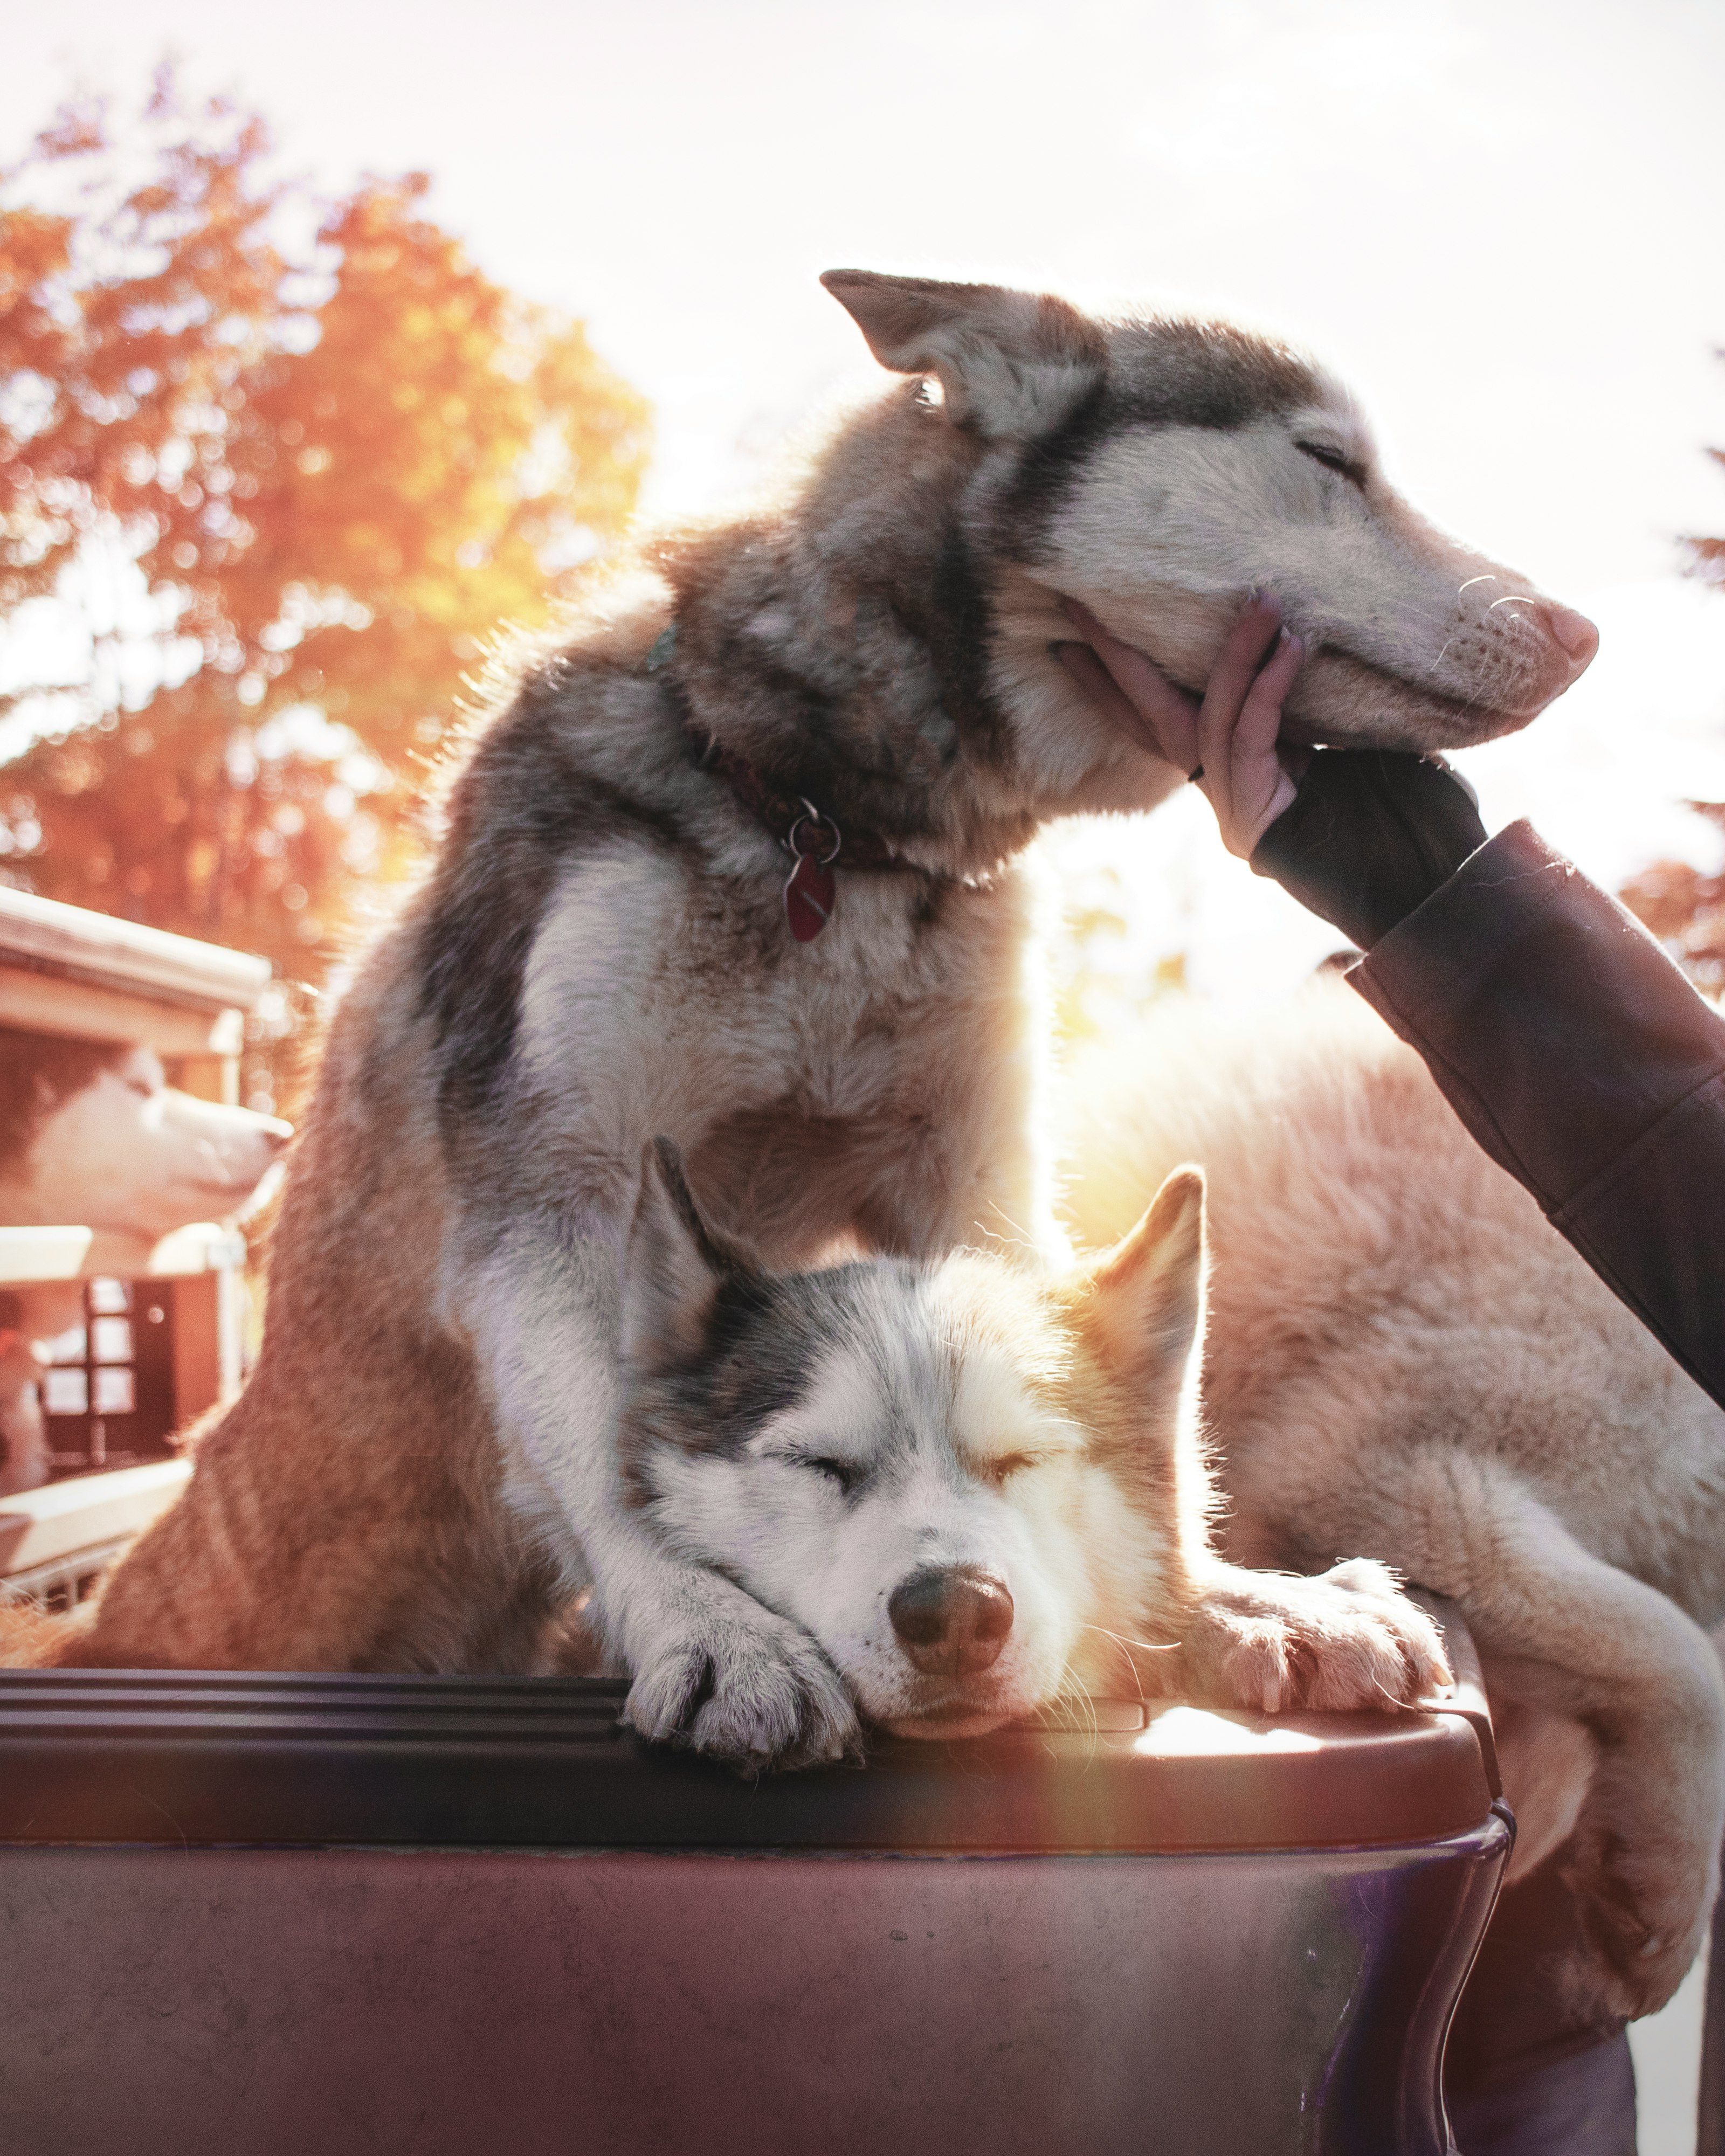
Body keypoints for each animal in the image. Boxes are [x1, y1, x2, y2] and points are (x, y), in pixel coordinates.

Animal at [20, 265, 1596, 1751]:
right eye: (1330, 460)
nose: (1581, 630)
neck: (825, 828)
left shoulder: (970, 1177)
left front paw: (1223, 1598)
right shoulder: (551, 1194)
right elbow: (615, 1452)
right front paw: (715, 1627)